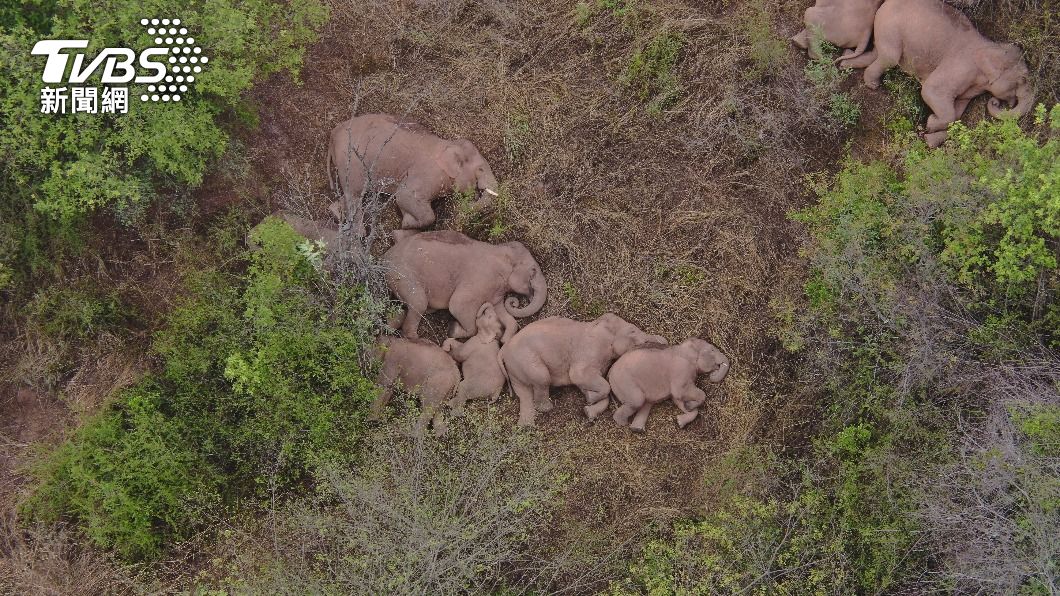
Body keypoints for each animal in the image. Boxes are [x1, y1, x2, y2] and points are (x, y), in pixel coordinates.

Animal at [327, 113, 499, 238]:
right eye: (480, 170)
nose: (462, 209)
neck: (448, 144)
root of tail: (333, 135)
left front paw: (405, 224)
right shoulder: (427, 174)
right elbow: (404, 196)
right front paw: (405, 224)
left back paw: (335, 213)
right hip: (351, 161)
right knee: (354, 195)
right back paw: (360, 234)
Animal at [382, 230, 547, 343]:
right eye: (533, 271)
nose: (515, 301)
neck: (500, 250)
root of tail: (383, 259)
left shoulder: (496, 290)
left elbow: (503, 313)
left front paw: (505, 340)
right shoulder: (482, 277)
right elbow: (457, 305)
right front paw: (452, 330)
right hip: (403, 276)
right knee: (419, 302)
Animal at [497, 314, 668, 427]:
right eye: (632, 330)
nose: (664, 341)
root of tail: (503, 350)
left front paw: (588, 406)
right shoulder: (588, 352)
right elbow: (581, 377)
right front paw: (590, 399)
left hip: (515, 369)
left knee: (524, 393)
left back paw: (526, 424)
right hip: (525, 359)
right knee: (542, 378)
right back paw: (547, 408)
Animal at [588, 339, 730, 433]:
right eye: (712, 350)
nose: (713, 373)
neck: (683, 348)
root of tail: (609, 374)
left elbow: (677, 400)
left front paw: (681, 417)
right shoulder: (681, 371)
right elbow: (682, 393)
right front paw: (690, 406)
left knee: (645, 403)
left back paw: (636, 429)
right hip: (625, 382)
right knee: (637, 401)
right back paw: (624, 425)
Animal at [841, 0, 1035, 147]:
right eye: (1022, 79)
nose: (995, 102)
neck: (993, 47)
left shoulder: (969, 89)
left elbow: (957, 112)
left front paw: (930, 138)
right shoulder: (959, 67)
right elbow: (930, 91)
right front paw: (931, 122)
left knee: (877, 54)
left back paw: (845, 64)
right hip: (891, 27)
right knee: (889, 57)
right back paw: (873, 85)